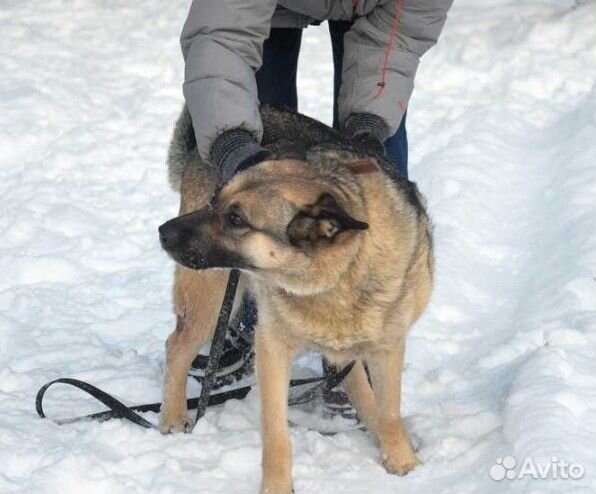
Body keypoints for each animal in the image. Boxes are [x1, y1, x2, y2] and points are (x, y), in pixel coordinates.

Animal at [158, 105, 434, 494]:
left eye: (236, 219)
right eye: (216, 199)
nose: (162, 232)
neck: (337, 276)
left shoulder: (387, 345)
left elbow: (389, 409)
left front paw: (401, 460)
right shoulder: (272, 346)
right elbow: (275, 433)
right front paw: (276, 486)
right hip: (209, 300)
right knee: (177, 346)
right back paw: (173, 415)